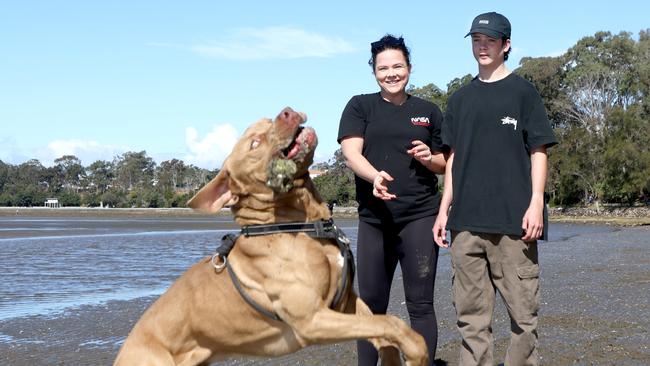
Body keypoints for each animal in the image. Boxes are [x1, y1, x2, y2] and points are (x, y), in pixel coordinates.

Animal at [112, 107, 426, 364]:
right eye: (254, 143)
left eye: (266, 121)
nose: (286, 111)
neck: (304, 225)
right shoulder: (312, 320)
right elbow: (393, 324)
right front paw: (416, 353)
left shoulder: (347, 303)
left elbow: (385, 331)